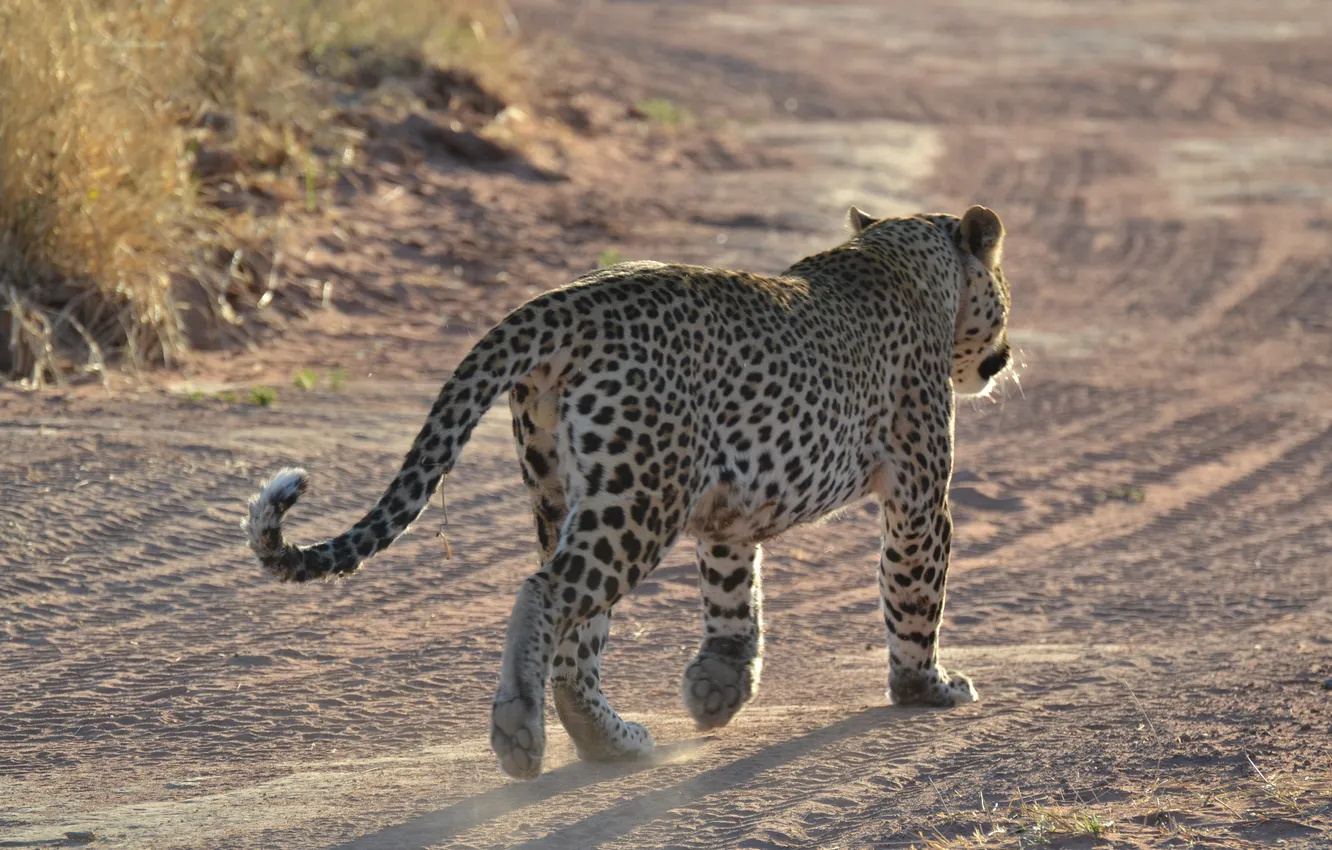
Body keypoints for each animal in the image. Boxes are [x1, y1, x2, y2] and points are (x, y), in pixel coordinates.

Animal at [242, 202, 1006, 783]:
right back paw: (520, 733)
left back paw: (610, 742)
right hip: (640, 499)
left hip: (569, 492)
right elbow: (915, 595)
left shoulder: (728, 512)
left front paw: (720, 687)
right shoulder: (919, 496)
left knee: (576, 638)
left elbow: (734, 595)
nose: (1003, 356)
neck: (904, 255)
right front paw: (928, 688)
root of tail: (566, 301)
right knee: (545, 594)